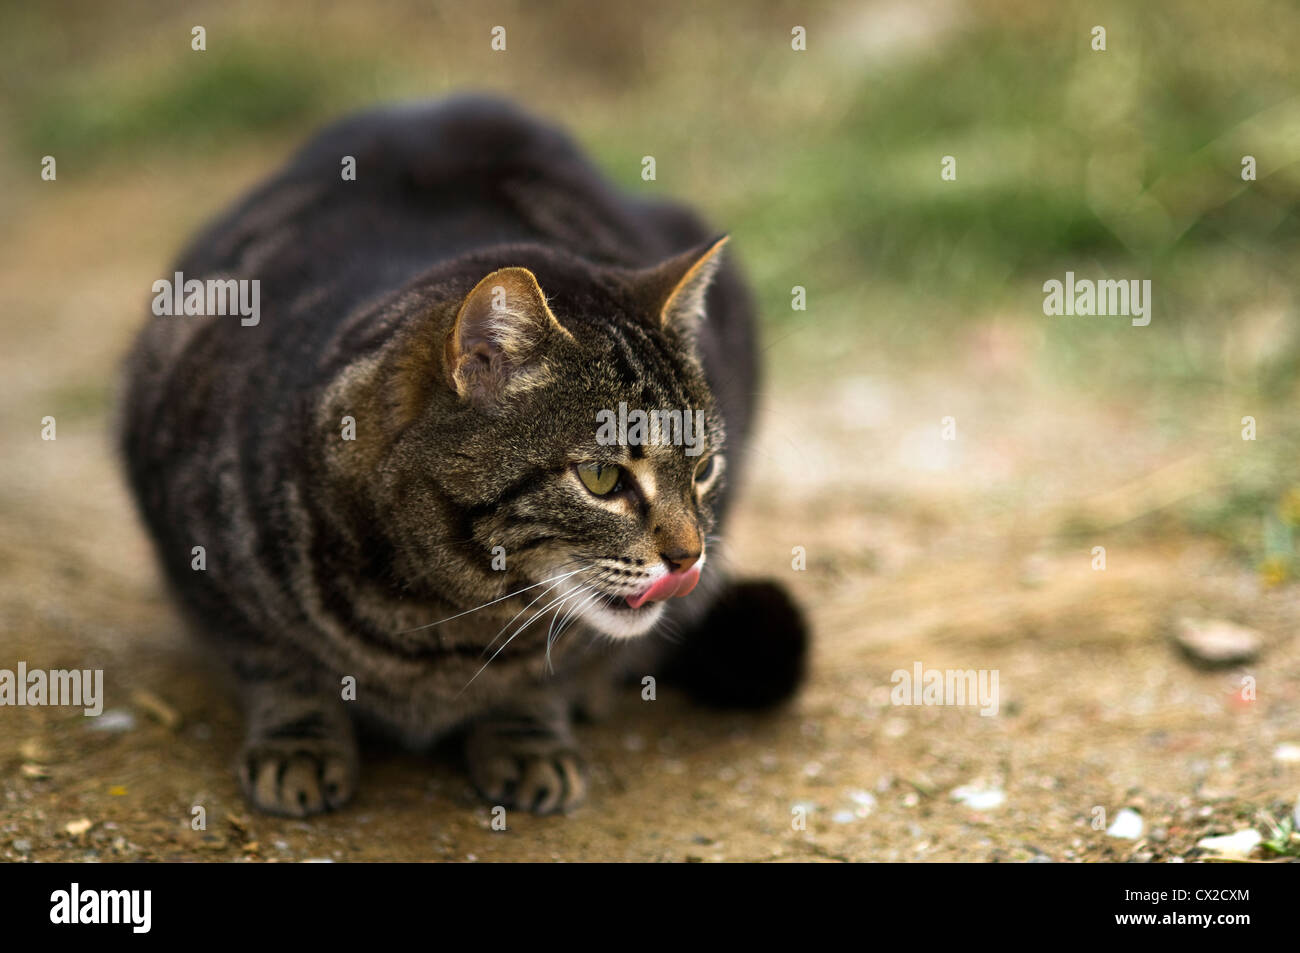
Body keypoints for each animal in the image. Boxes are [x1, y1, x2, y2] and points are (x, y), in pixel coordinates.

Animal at [124, 100, 811, 821]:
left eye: (703, 470)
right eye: (602, 478)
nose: (690, 557)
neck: (439, 621)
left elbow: (546, 677)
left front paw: (529, 730)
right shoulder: (200, 555)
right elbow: (272, 664)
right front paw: (299, 740)